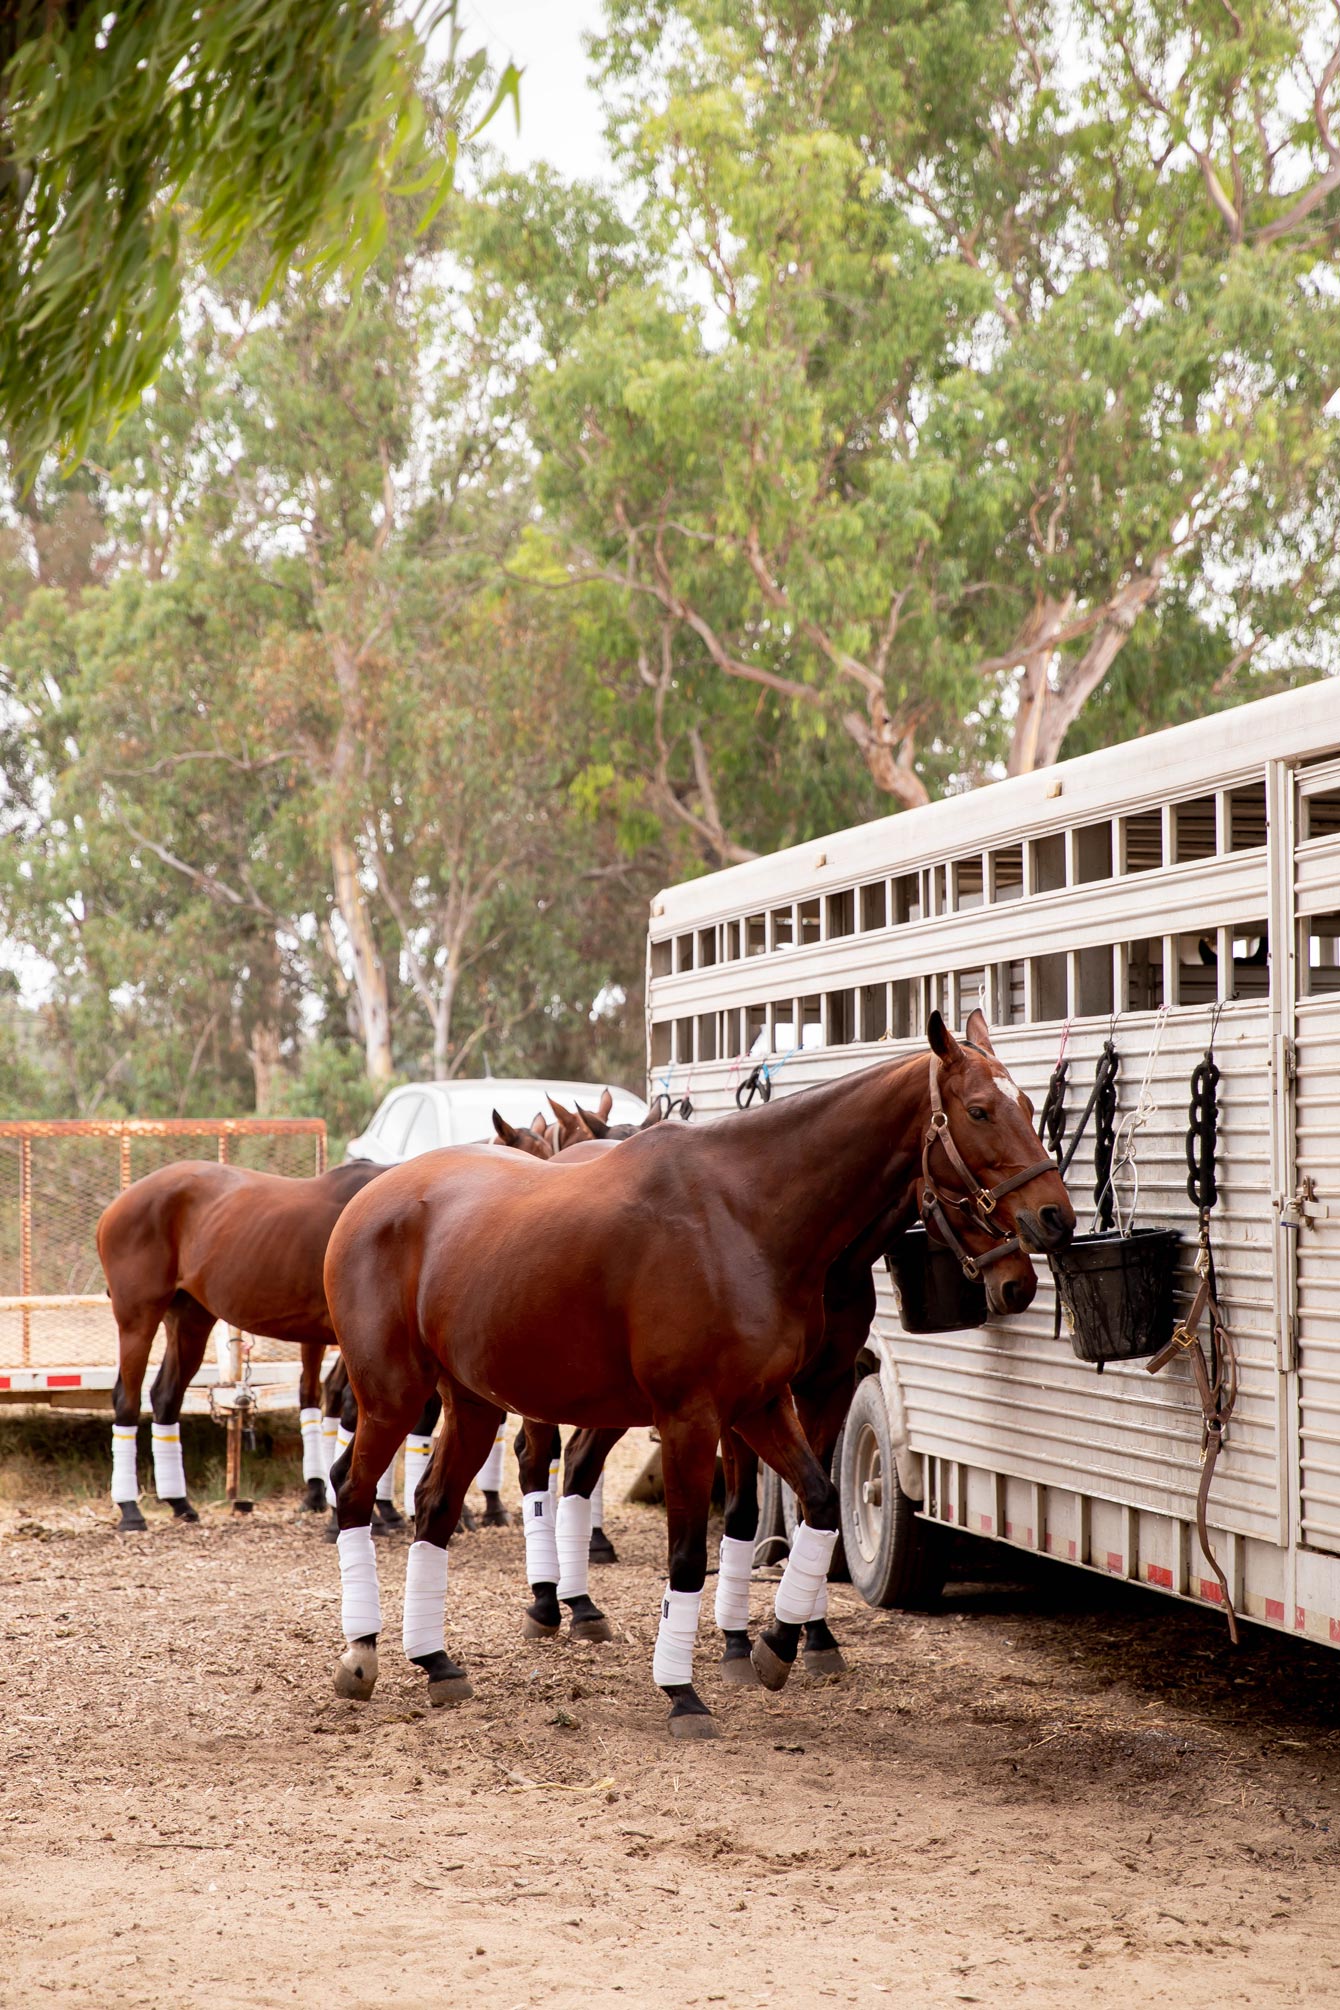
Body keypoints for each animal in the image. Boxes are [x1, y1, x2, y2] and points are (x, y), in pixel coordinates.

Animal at [319, 1021, 1076, 1744]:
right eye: (978, 1110)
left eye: (1029, 1104)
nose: (1055, 1217)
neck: (743, 1215)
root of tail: (370, 1197)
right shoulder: (693, 1419)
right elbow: (689, 1555)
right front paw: (684, 1691)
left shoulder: (766, 1403)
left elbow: (819, 1503)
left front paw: (780, 1643)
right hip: (394, 1397)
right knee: (356, 1489)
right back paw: (364, 1653)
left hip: (474, 1403)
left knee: (437, 1506)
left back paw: (435, 1660)